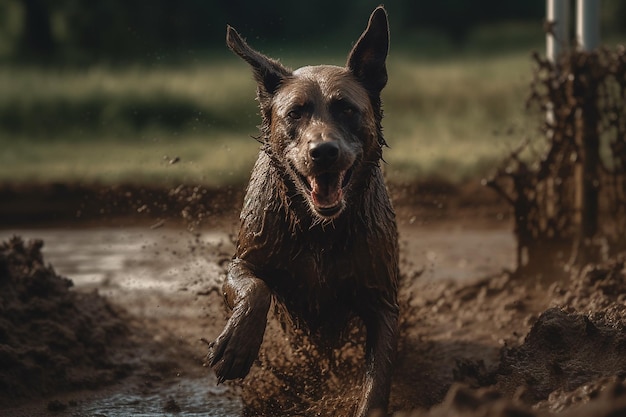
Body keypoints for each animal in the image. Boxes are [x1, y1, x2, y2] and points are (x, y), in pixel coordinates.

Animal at [207, 6, 398, 416]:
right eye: (295, 113)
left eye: (346, 109)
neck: (318, 230)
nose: (323, 151)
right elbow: (256, 287)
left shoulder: (383, 302)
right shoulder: (245, 258)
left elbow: (377, 382)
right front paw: (237, 345)